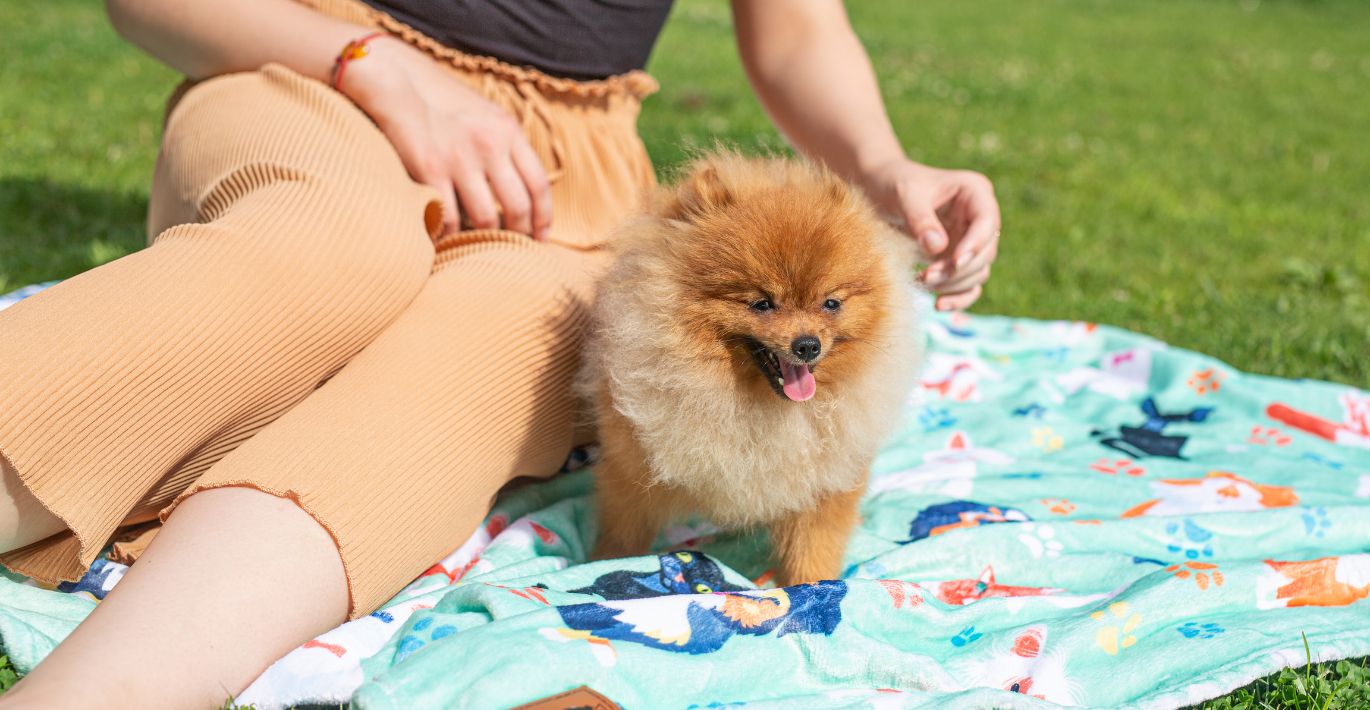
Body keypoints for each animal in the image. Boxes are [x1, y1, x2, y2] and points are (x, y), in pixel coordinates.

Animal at [583, 152, 926, 586]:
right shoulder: (632, 469)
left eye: (830, 303)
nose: (807, 345)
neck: (759, 409)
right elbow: (622, 533)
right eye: (762, 304)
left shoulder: (821, 481)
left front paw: (811, 587)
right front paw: (597, 565)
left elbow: (812, 547)